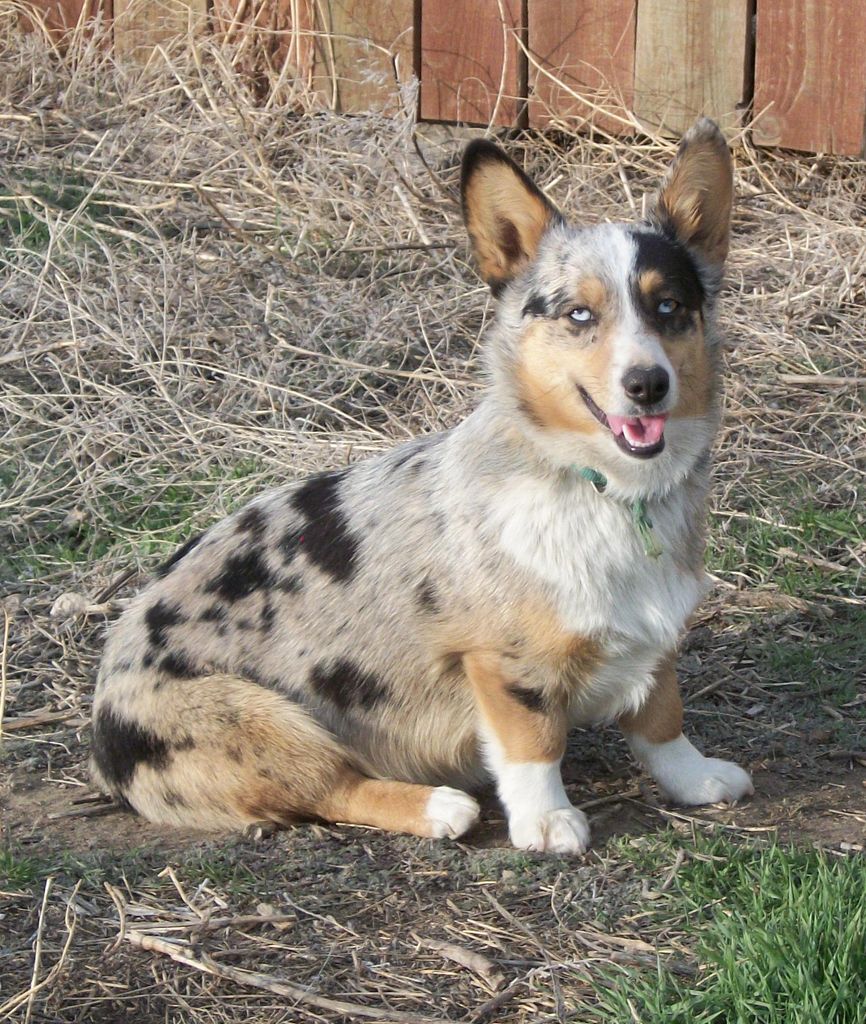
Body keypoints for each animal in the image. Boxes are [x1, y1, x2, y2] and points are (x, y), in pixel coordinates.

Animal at [90, 117, 753, 856]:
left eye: (668, 307)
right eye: (580, 315)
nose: (647, 385)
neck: (608, 491)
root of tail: (102, 713)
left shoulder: (654, 637)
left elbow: (663, 716)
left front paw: (695, 778)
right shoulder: (503, 664)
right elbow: (533, 745)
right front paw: (546, 821)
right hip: (260, 716)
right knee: (330, 786)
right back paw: (439, 807)